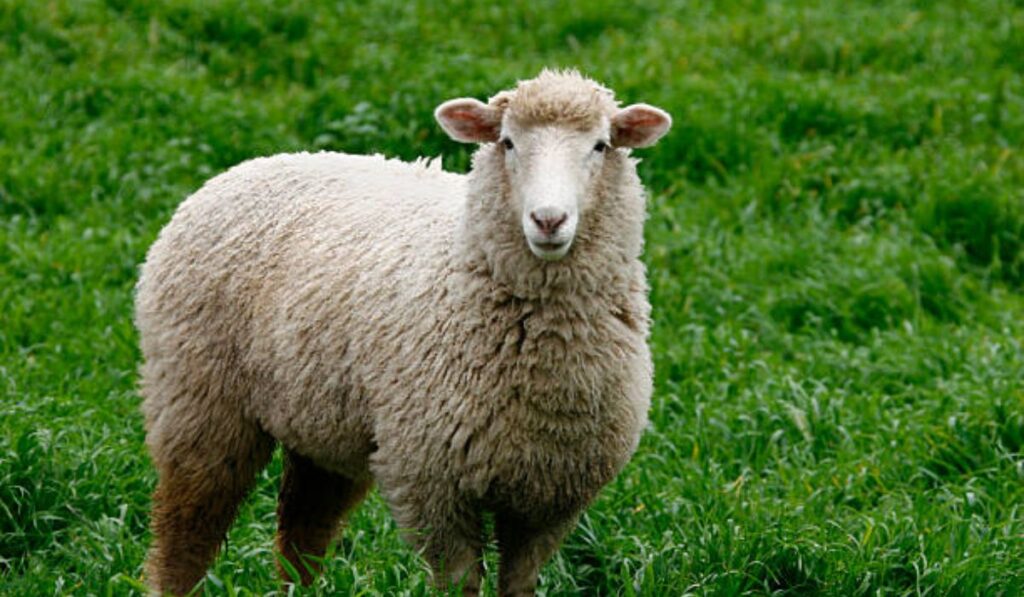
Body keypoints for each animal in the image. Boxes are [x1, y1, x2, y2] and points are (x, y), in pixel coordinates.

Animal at [135, 68, 671, 596]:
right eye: (507, 142)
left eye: (600, 145)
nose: (548, 220)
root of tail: (251, 165)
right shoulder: (432, 484)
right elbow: (458, 584)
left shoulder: (548, 502)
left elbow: (518, 583)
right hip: (199, 402)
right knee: (186, 534)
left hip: (320, 425)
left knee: (302, 533)